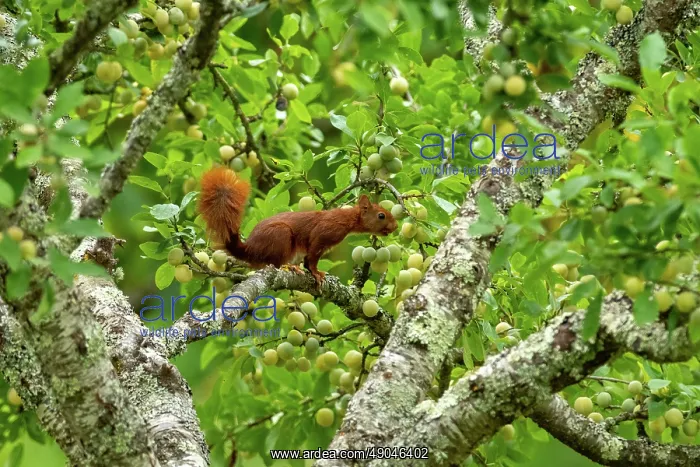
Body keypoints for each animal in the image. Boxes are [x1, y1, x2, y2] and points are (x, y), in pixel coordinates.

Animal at [198, 167, 398, 284]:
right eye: (381, 215)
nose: (396, 226)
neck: (347, 219)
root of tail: (250, 249)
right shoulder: (323, 233)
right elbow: (312, 257)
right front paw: (316, 273)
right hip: (281, 235)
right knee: (275, 263)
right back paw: (290, 267)